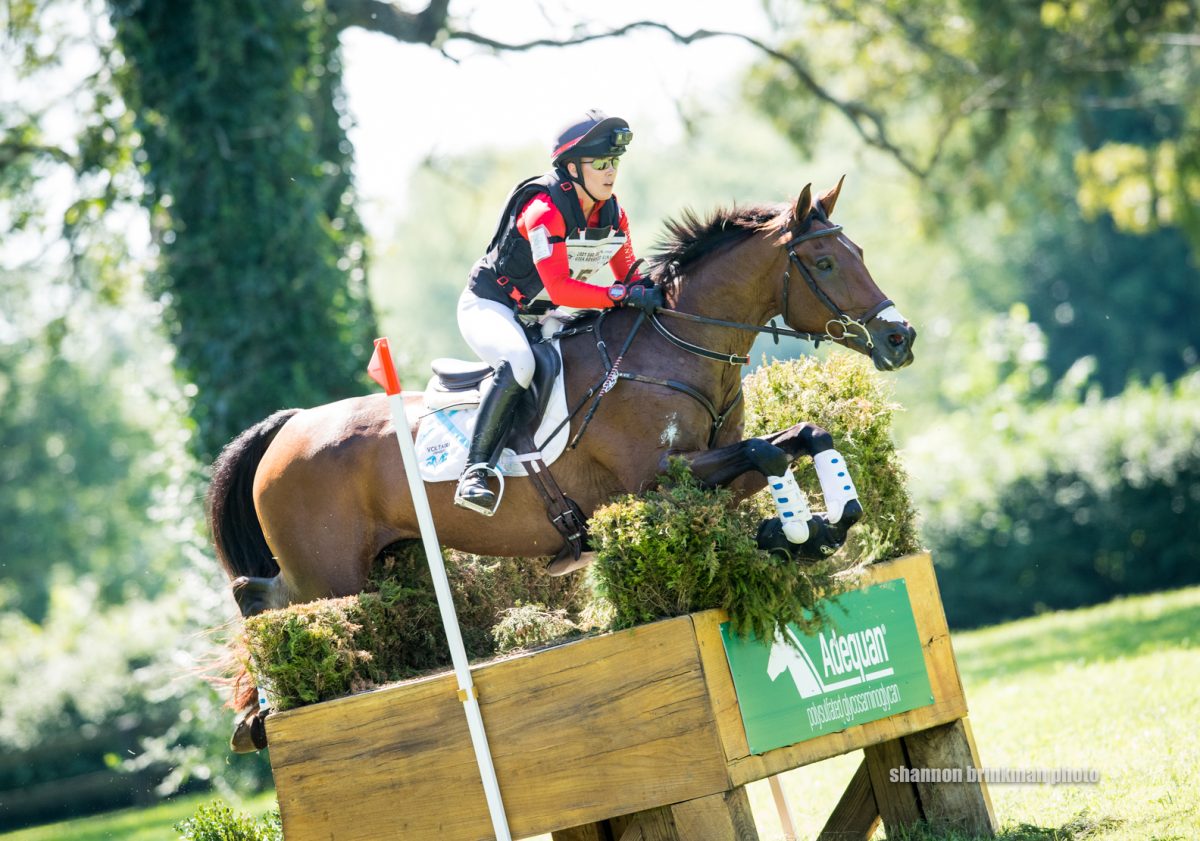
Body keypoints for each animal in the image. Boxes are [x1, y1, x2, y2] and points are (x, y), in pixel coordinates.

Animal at [209, 179, 915, 750]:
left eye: (858, 254)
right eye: (824, 261)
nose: (900, 338)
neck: (677, 346)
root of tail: (291, 425)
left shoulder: (716, 475)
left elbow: (804, 433)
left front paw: (828, 520)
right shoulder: (655, 481)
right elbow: (769, 449)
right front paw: (796, 531)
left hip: (375, 562)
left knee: (270, 597)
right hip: (328, 574)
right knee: (266, 603)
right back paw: (257, 716)